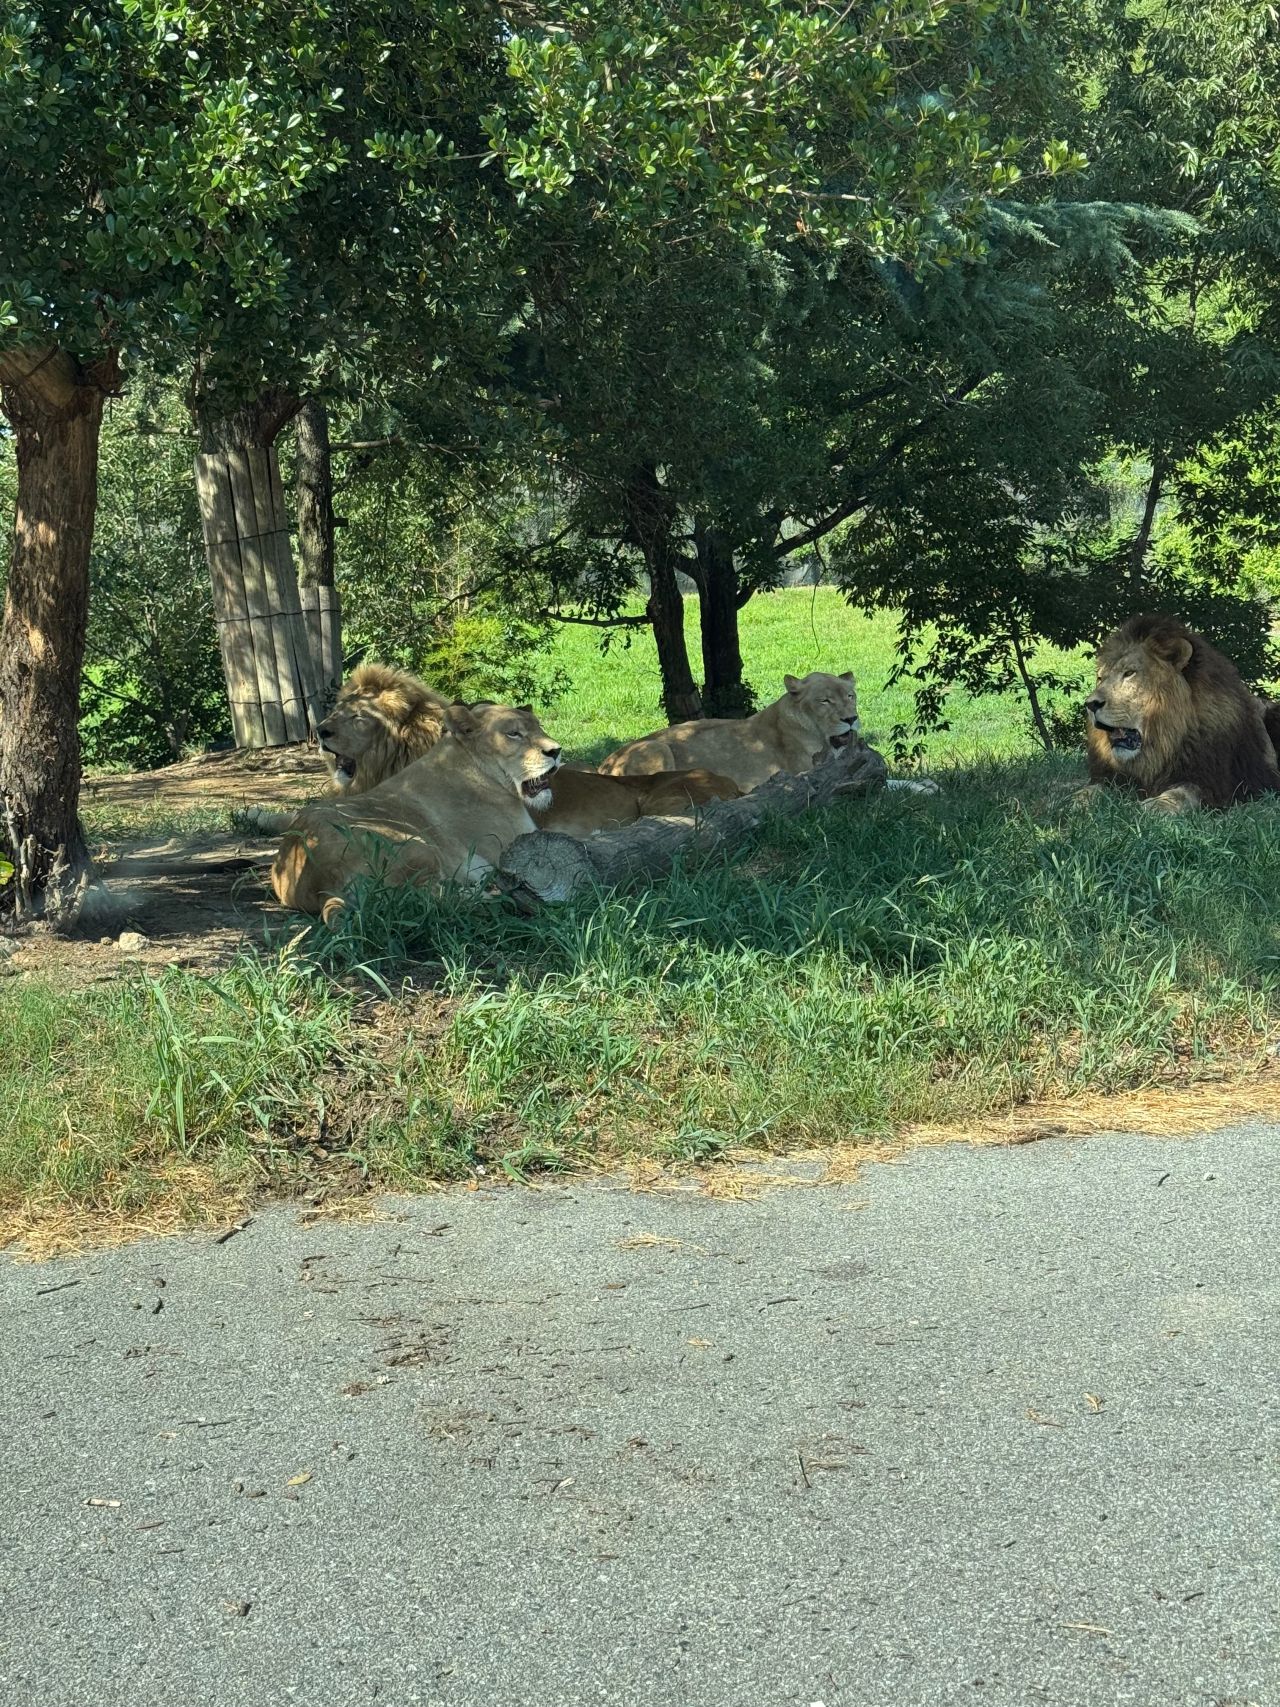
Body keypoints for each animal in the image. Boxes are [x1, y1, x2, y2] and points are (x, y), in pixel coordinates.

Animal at [269, 700, 562, 918]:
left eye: (539, 727)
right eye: (513, 734)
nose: (556, 751)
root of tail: (323, 884)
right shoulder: (515, 840)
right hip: (416, 845)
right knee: (425, 897)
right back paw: (489, 894)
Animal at [599, 671, 860, 793]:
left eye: (850, 696)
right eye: (824, 700)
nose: (851, 719)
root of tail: (603, 766)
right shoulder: (803, 770)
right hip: (656, 747)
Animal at [1081, 613, 1280, 813]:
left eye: (1129, 673)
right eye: (1100, 678)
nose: (1090, 704)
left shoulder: (1217, 783)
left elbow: (1182, 793)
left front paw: (1155, 805)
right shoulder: (1114, 776)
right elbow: (1093, 788)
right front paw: (1078, 800)